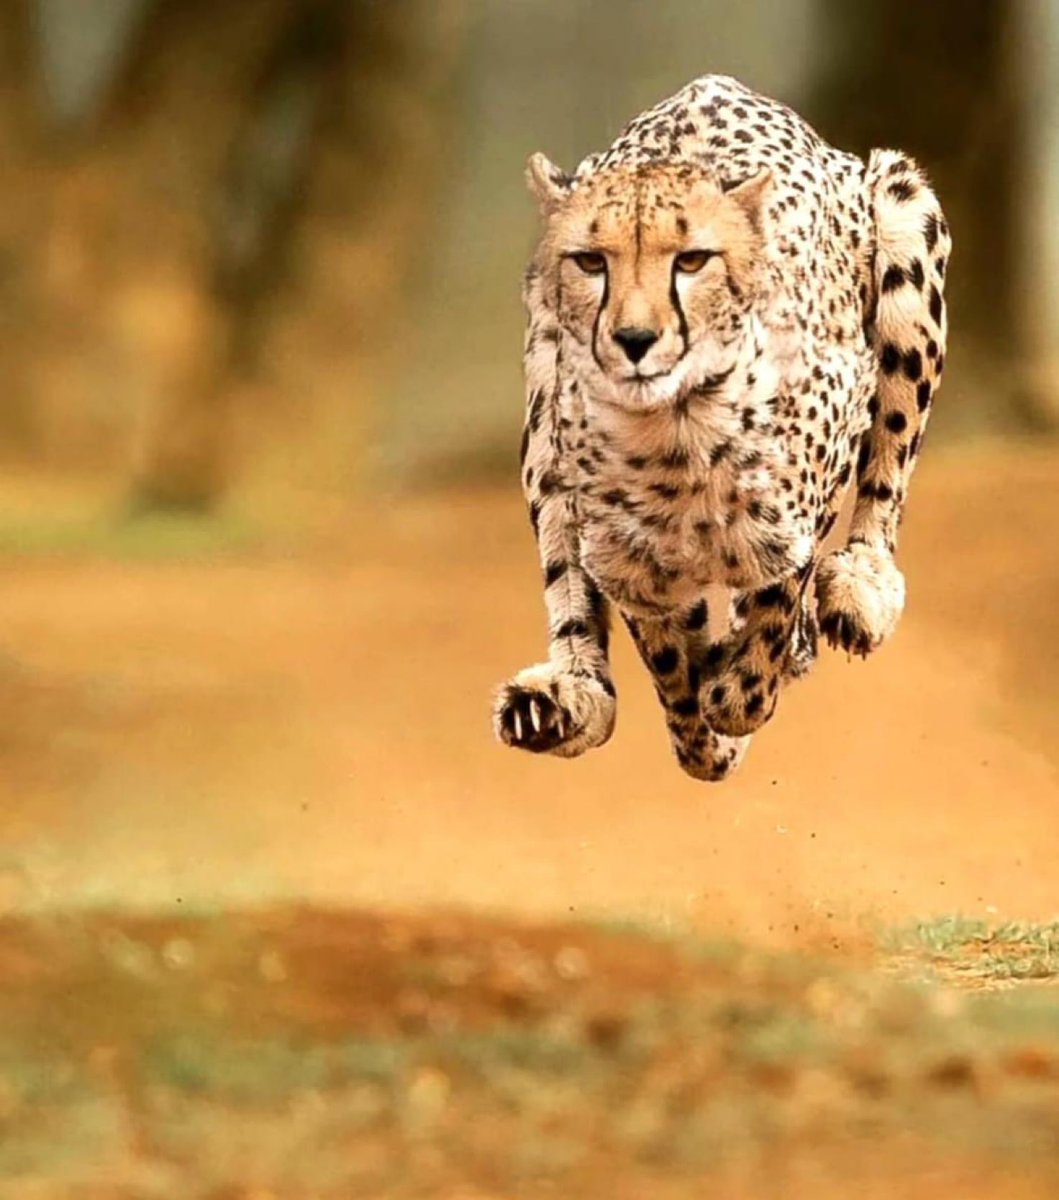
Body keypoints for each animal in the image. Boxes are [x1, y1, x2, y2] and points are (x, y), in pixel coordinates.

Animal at [492, 74, 950, 782]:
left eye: (691, 261)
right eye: (591, 262)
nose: (634, 339)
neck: (676, 435)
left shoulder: (821, 461)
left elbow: (772, 610)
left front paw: (743, 690)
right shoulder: (628, 568)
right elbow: (668, 663)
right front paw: (706, 731)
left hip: (903, 208)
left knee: (889, 469)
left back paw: (860, 590)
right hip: (542, 409)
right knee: (567, 583)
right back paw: (563, 701)